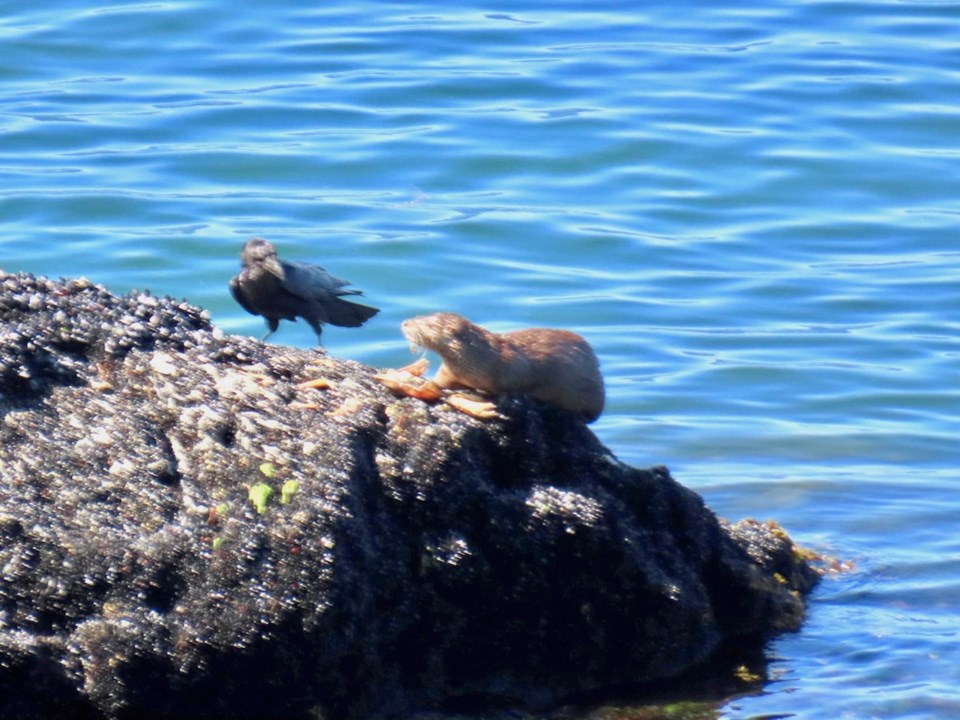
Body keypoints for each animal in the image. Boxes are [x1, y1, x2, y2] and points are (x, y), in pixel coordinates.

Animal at [402, 314, 604, 422]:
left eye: (425, 324)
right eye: (421, 315)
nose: (404, 323)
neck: (480, 357)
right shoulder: (452, 371)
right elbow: (442, 380)